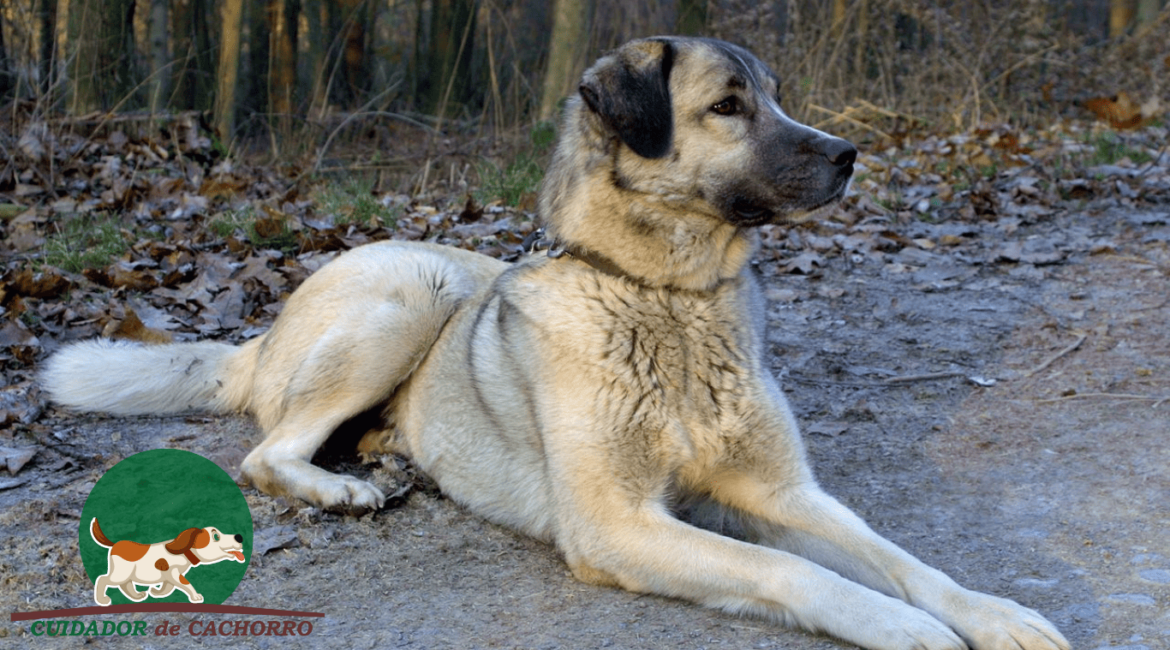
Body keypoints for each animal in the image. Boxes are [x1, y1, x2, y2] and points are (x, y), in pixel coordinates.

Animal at [90, 519, 246, 603]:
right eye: (216, 536)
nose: (239, 537)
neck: (185, 552)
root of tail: (115, 544)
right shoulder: (173, 573)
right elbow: (186, 584)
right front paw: (196, 597)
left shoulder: (168, 576)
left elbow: (167, 588)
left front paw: (156, 592)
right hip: (120, 573)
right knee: (103, 579)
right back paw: (102, 600)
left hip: (126, 573)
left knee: (125, 585)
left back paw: (137, 596)